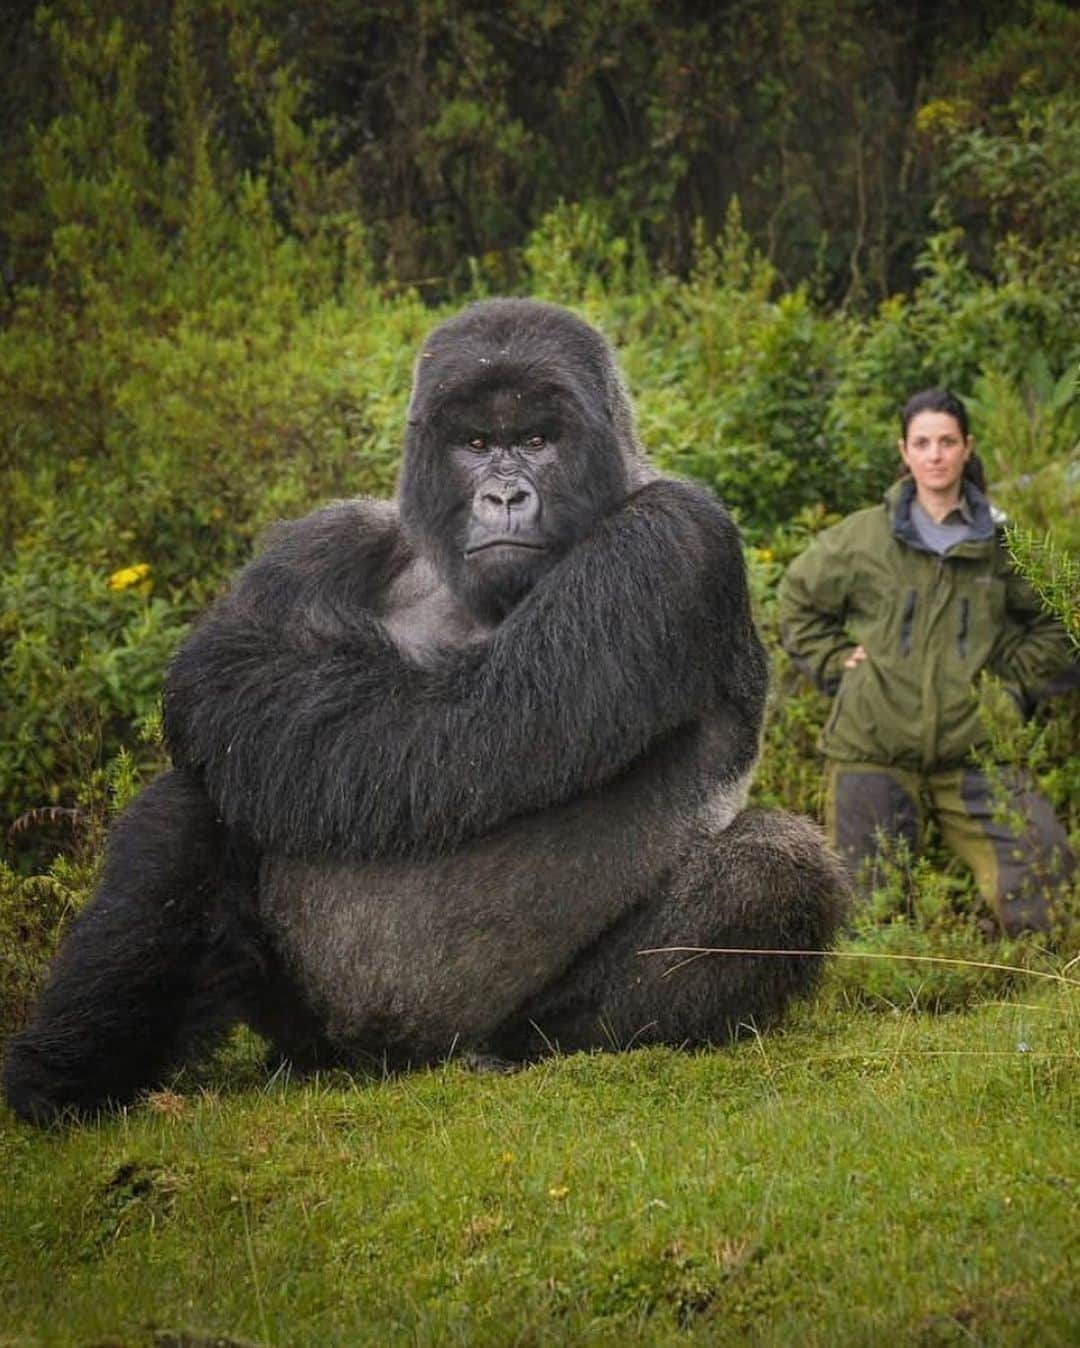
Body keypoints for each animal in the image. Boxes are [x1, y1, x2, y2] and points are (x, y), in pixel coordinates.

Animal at [4, 297, 846, 1126]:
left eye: (536, 441)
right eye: (475, 444)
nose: (503, 496)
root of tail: (382, 1061)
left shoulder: (674, 537)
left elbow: (478, 722)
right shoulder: (335, 532)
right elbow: (226, 668)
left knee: (776, 864)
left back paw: (529, 1044)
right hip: (305, 1020)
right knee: (202, 793)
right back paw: (71, 1075)